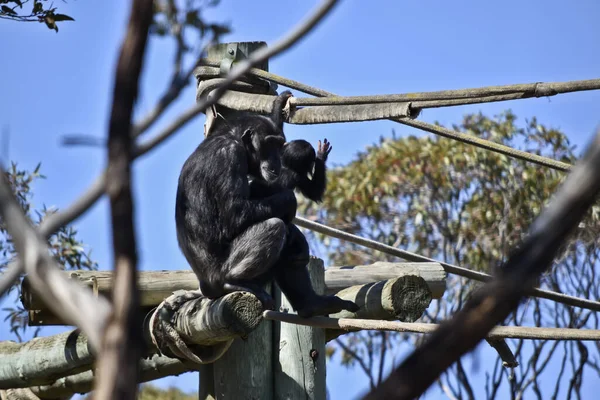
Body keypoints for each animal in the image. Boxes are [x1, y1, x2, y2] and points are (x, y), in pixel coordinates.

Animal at [176, 91, 358, 318]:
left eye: (279, 144)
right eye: (269, 144)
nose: (276, 160)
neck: (232, 138)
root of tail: (205, 287)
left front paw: (277, 107)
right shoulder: (230, 155)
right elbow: (234, 213)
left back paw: (313, 304)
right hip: (219, 276)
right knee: (274, 226)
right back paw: (235, 282)